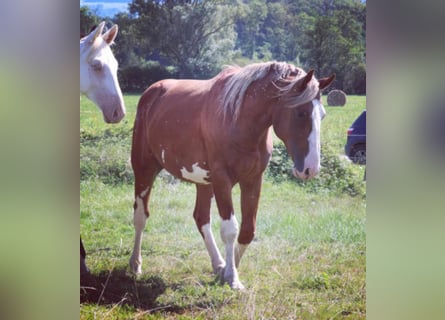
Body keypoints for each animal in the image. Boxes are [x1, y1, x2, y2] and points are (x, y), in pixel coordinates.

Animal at [128, 61, 332, 288]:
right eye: (301, 113)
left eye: (322, 115)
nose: (311, 169)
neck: (239, 120)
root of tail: (151, 92)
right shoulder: (222, 179)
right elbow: (230, 229)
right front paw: (232, 278)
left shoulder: (253, 179)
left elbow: (247, 231)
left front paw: (226, 270)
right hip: (144, 169)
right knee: (140, 216)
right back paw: (135, 264)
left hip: (204, 182)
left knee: (201, 218)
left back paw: (217, 264)